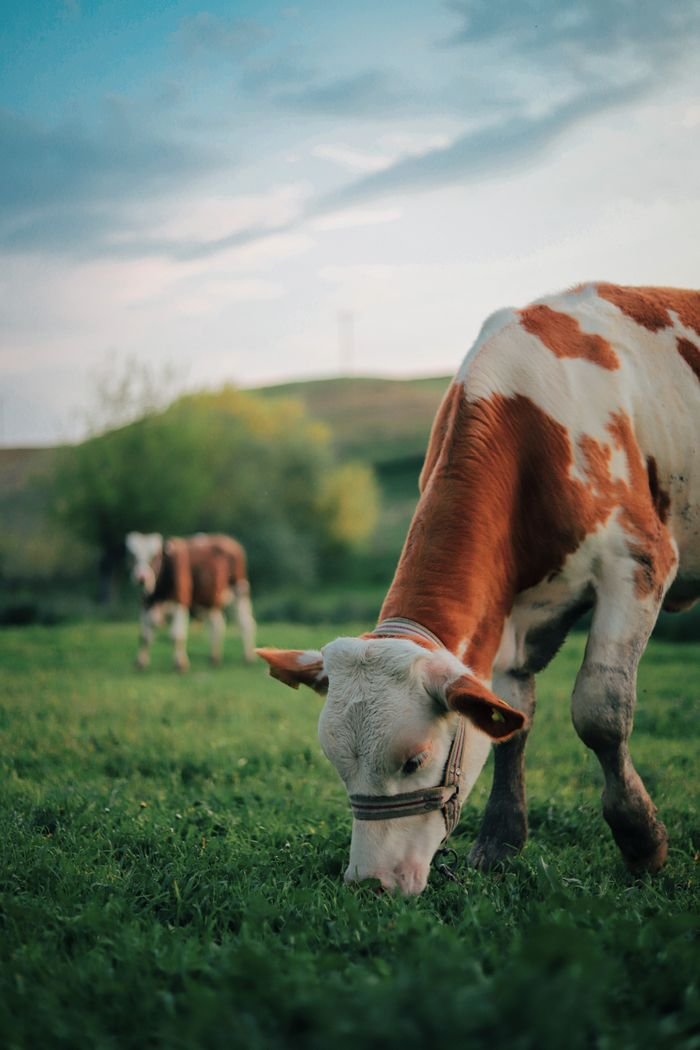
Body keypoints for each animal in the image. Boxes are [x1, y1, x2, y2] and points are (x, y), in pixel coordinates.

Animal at [125, 531, 256, 670]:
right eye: (133, 556)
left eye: (155, 556)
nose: (141, 577)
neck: (158, 594)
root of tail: (228, 539)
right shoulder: (145, 604)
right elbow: (144, 635)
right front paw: (140, 663)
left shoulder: (181, 603)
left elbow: (176, 635)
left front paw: (180, 664)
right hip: (211, 601)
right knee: (217, 624)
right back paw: (214, 658)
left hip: (240, 590)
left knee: (246, 623)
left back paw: (248, 657)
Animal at [258, 283, 700, 895]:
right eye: (337, 763)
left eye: (414, 760)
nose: (369, 882)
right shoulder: (507, 612)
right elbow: (513, 722)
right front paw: (499, 842)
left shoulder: (638, 560)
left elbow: (601, 711)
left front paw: (641, 841)